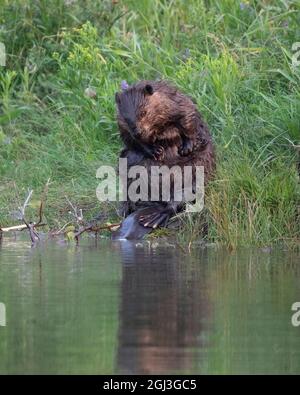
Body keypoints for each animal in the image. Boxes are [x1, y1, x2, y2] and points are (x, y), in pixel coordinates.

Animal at [113, 80, 216, 240]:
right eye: (126, 117)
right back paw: (127, 209)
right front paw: (155, 151)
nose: (138, 131)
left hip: (197, 169)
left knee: (181, 197)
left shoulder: (177, 102)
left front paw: (187, 147)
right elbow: (130, 139)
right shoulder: (122, 124)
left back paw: (154, 218)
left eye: (143, 112)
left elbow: (189, 120)